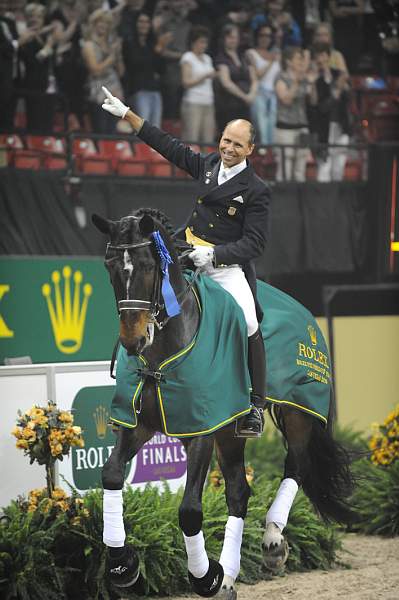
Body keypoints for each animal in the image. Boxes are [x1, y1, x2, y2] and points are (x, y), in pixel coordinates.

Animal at [92, 209, 354, 596]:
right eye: (109, 266)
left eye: (147, 266)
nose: (132, 340)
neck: (162, 353)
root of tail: (303, 311)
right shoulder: (137, 424)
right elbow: (110, 474)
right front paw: (123, 565)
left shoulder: (202, 429)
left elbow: (189, 510)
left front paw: (205, 577)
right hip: (230, 431)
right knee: (238, 492)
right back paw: (230, 577)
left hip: (297, 412)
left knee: (296, 466)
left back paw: (272, 542)